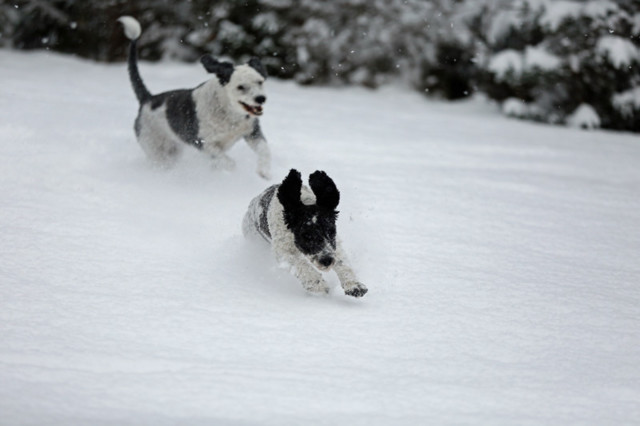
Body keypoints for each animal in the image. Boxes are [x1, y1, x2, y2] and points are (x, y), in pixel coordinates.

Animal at [117, 16, 270, 180]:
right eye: (241, 87)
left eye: (260, 82)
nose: (261, 98)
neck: (228, 112)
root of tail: (147, 99)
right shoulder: (203, 142)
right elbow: (227, 161)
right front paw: (230, 172)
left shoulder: (252, 132)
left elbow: (264, 150)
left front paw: (264, 172)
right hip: (154, 147)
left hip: (173, 149)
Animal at [242, 168, 368, 298]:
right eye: (306, 236)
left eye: (331, 231)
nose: (327, 261)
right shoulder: (283, 250)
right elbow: (300, 264)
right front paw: (317, 284)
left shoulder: (334, 244)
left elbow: (343, 262)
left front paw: (354, 285)